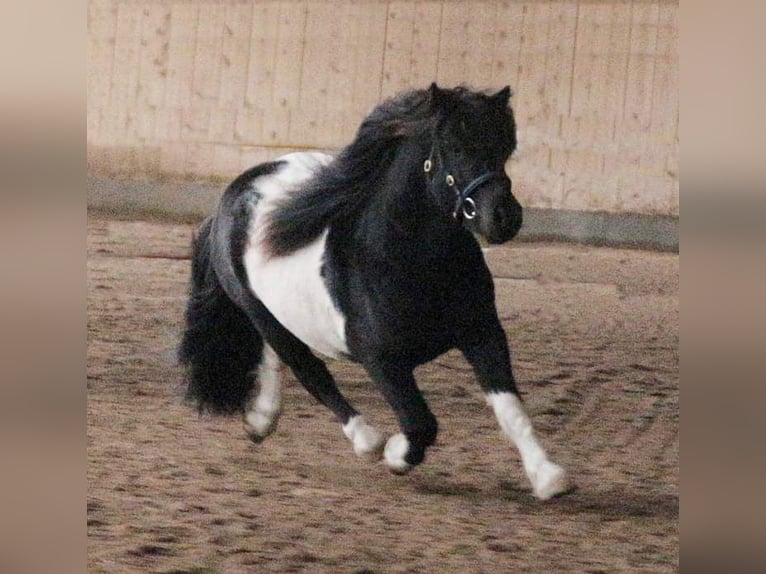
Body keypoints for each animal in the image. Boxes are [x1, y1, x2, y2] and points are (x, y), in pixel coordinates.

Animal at [177, 84, 568, 500]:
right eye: (454, 147)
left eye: (504, 148)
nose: (504, 218)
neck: (409, 262)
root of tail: (235, 193)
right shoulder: (381, 360)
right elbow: (420, 423)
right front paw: (396, 454)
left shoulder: (483, 334)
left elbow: (510, 408)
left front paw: (548, 477)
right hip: (259, 311)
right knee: (308, 370)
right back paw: (366, 440)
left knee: (275, 357)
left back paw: (261, 419)